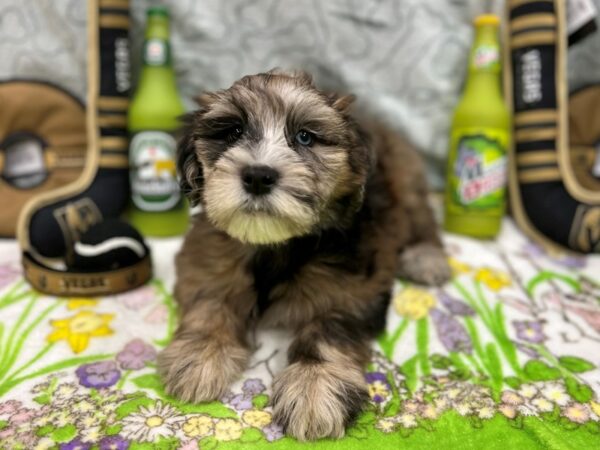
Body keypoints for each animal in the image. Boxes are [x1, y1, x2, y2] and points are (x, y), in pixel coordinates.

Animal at [157, 69, 448, 440]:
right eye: (234, 132)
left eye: (305, 137)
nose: (258, 176)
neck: (275, 245)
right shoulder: (205, 258)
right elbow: (210, 300)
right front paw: (200, 352)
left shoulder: (355, 285)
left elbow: (329, 327)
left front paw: (315, 384)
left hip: (405, 181)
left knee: (421, 217)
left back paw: (426, 257)